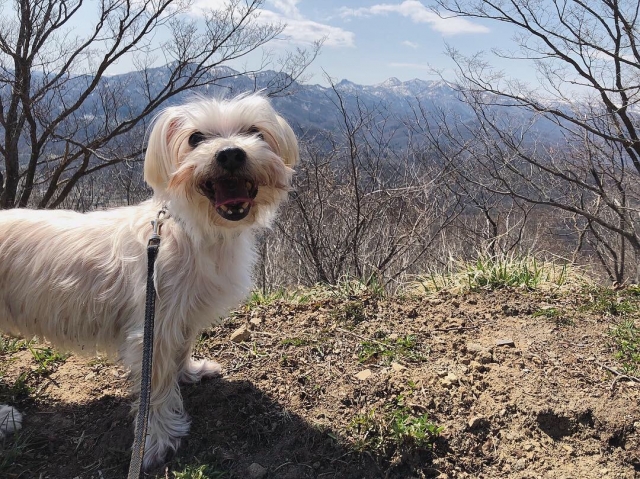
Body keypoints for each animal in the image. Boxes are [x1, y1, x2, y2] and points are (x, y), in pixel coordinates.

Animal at [0, 94, 298, 468]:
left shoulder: (181, 315)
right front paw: (158, 440)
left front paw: (191, 372)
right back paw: (5, 418)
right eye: (195, 138)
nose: (230, 153)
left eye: (255, 132)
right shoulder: (152, 327)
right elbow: (155, 387)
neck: (197, 232)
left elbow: (181, 350)